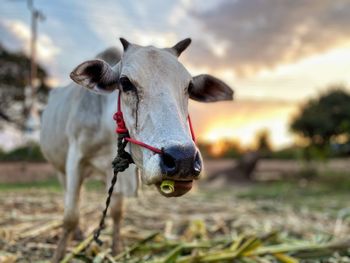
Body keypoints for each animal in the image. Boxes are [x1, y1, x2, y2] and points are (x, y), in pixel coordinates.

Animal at [39, 38, 234, 262]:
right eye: (125, 83)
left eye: (189, 86)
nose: (182, 159)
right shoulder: (75, 161)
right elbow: (70, 216)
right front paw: (58, 255)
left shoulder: (117, 171)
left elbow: (117, 211)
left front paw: (116, 249)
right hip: (60, 168)